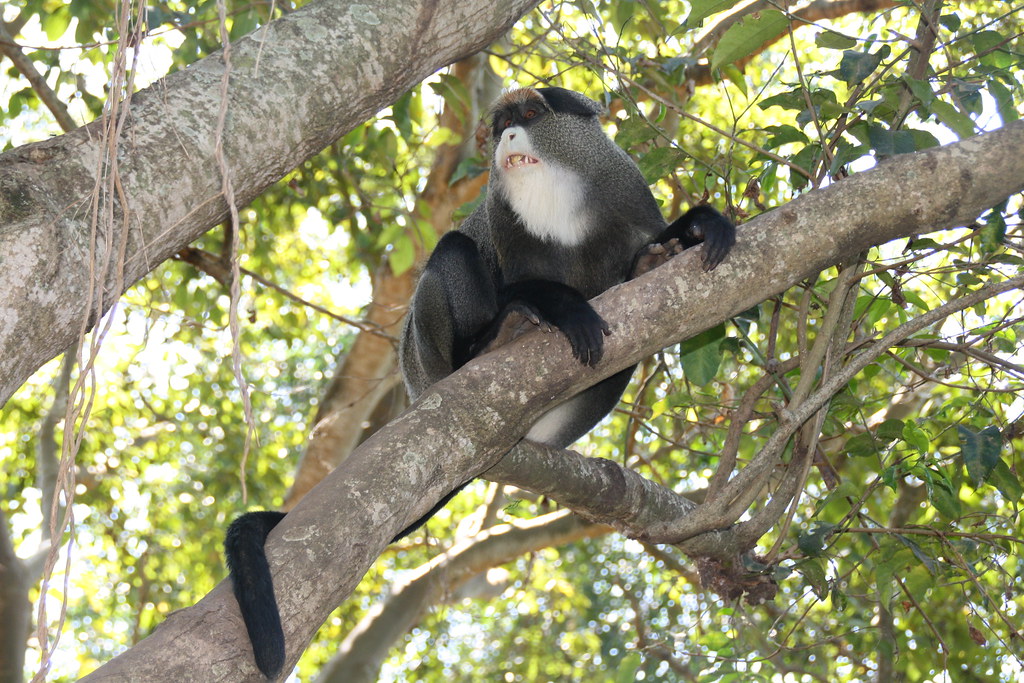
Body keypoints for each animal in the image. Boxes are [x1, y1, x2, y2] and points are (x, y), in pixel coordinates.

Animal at [224, 86, 735, 679]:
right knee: (453, 249)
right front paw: (565, 307)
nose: (509, 135)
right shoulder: (507, 226)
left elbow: (637, 274)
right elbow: (523, 282)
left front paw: (688, 234)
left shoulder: (627, 197)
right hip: (425, 356)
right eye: (502, 123)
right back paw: (492, 342)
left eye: (531, 116)